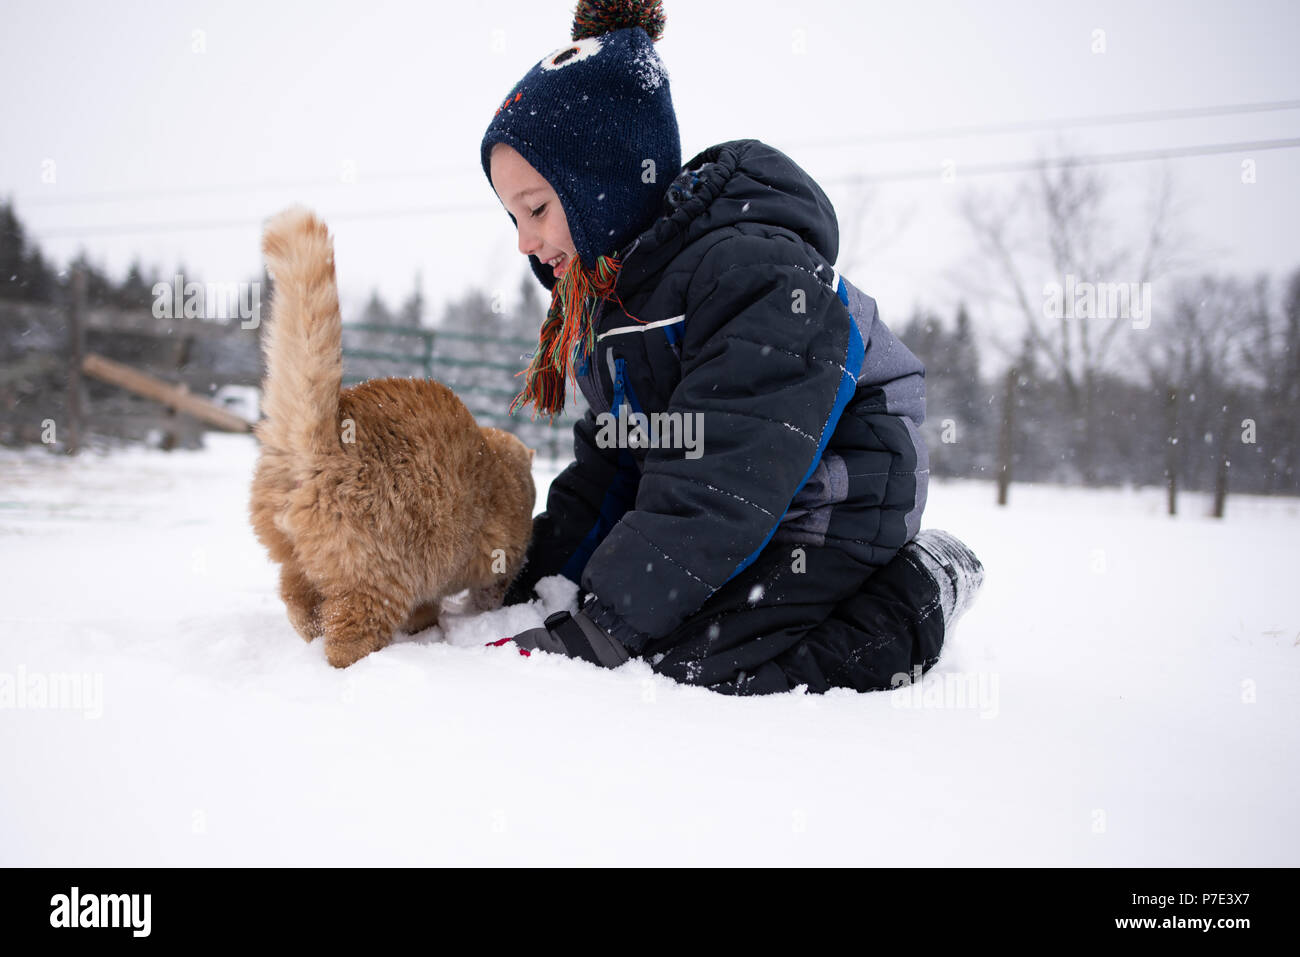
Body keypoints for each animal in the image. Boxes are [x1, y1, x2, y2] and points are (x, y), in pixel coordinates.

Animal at [245, 204, 535, 665]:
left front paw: (427, 624)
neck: (505, 467)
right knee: (345, 642)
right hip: (376, 586)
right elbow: (484, 596)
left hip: (297, 566)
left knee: (300, 607)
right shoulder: (496, 565)